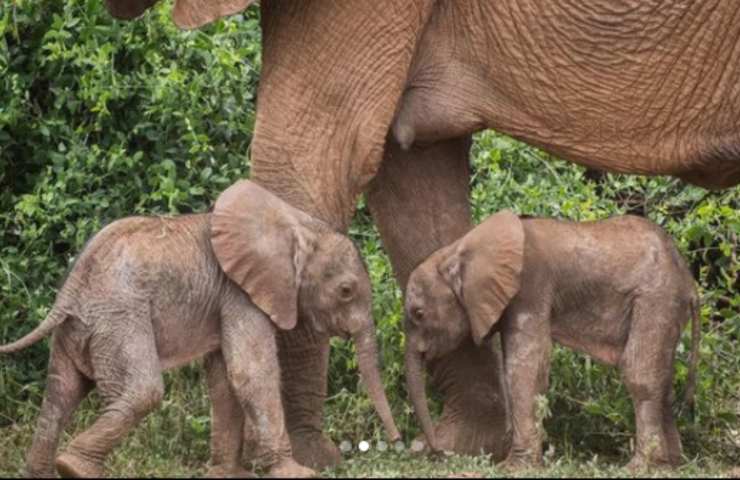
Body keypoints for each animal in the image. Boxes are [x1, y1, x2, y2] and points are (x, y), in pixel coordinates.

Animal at [0, 181, 398, 480]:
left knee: (60, 392)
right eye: (346, 291)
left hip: (81, 326)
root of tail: (72, 285)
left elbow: (224, 379)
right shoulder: (240, 294)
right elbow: (251, 373)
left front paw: (229, 475)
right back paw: (75, 468)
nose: (395, 441)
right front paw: (296, 473)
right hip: (119, 317)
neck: (296, 226)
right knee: (142, 390)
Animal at [404, 210, 700, 468]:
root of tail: (689, 281)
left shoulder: (530, 289)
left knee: (640, 374)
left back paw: (640, 467)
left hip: (656, 298)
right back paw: (670, 465)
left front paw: (515, 467)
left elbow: (523, 369)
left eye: (418, 314)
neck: (457, 250)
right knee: (663, 380)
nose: (434, 450)